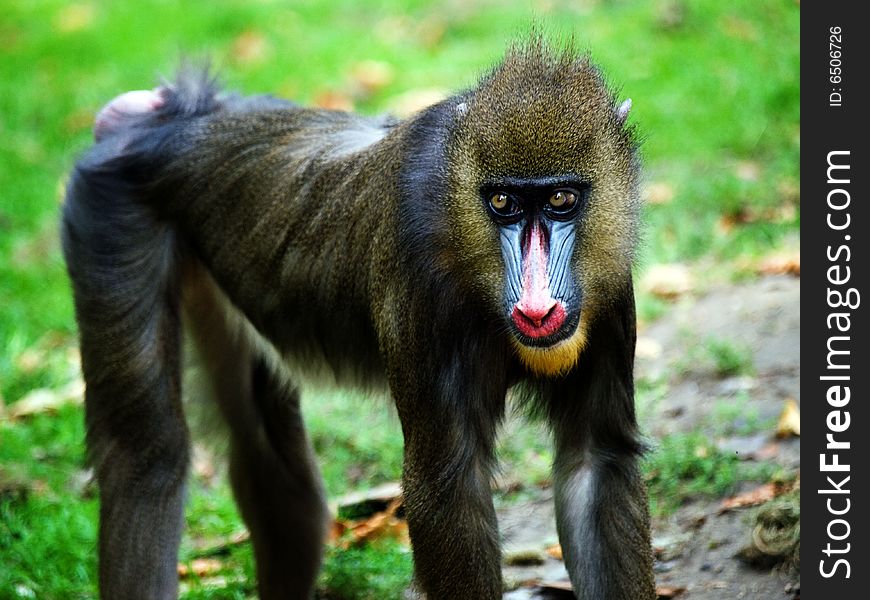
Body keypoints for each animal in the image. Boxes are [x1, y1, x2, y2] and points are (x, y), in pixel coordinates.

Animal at [63, 42, 656, 600]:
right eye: (504, 203)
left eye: (561, 198)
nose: (537, 307)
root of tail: (165, 120)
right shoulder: (419, 287)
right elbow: (447, 490)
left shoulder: (607, 295)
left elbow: (594, 462)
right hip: (113, 225)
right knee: (147, 452)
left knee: (271, 461)